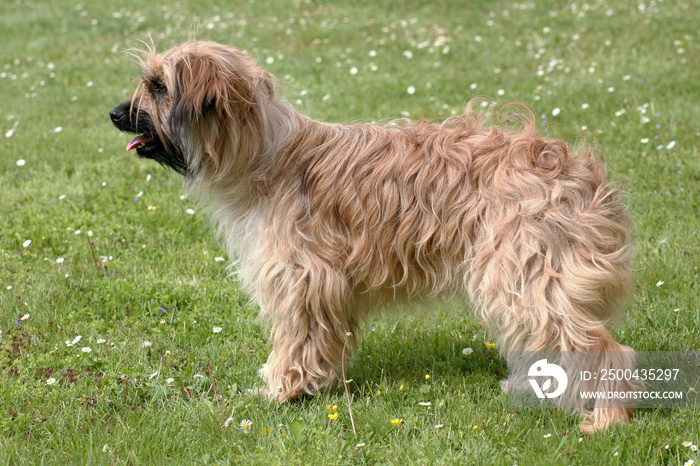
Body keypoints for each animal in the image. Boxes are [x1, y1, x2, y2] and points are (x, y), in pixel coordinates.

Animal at [108, 41, 636, 434]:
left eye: (158, 86)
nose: (115, 114)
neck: (263, 152)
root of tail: (578, 172)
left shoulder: (302, 276)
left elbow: (297, 337)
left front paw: (282, 390)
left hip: (526, 272)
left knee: (600, 348)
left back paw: (607, 420)